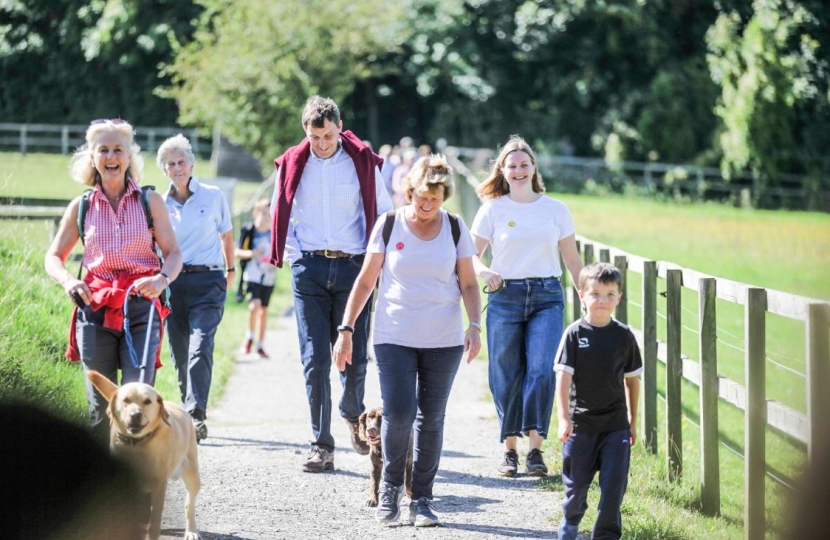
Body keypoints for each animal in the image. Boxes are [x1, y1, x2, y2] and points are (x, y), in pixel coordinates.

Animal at [88, 370, 202, 540]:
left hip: (192, 474)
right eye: (126, 400)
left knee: (190, 504)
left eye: (147, 401)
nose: (135, 414)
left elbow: (154, 521)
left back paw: (192, 531)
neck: (137, 444)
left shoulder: (159, 486)